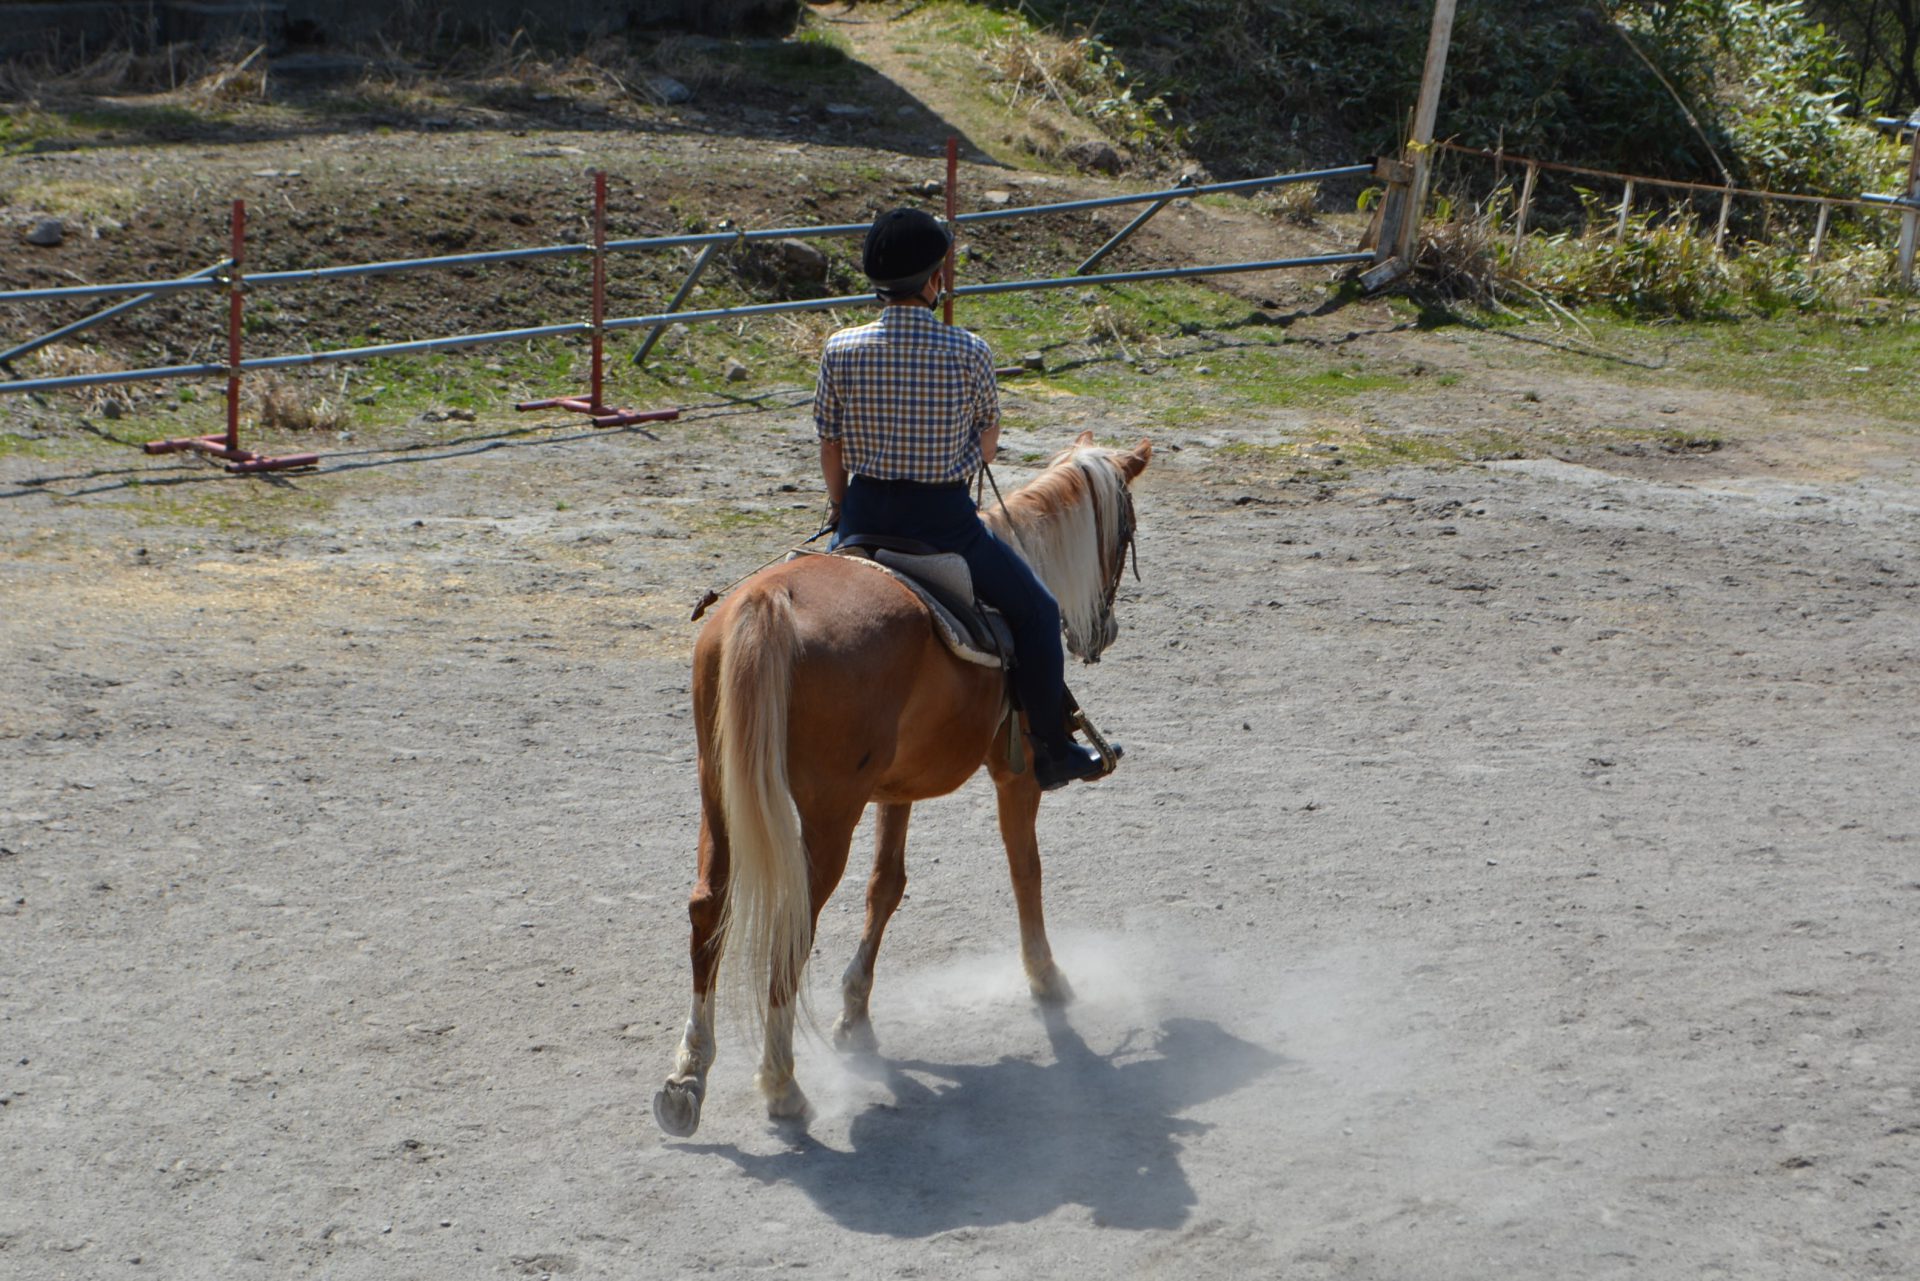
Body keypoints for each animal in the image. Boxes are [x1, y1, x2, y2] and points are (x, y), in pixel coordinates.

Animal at [652, 434, 1144, 1144]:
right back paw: (783, 1087)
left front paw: (854, 1015)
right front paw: (1047, 977)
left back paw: (687, 1080)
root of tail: (769, 604)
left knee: (707, 908)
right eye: (1126, 532)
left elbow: (886, 885)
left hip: (718, 794)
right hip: (828, 815)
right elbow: (1025, 868)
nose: (1104, 631)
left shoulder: (894, 790)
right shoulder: (1017, 773)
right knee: (791, 925)